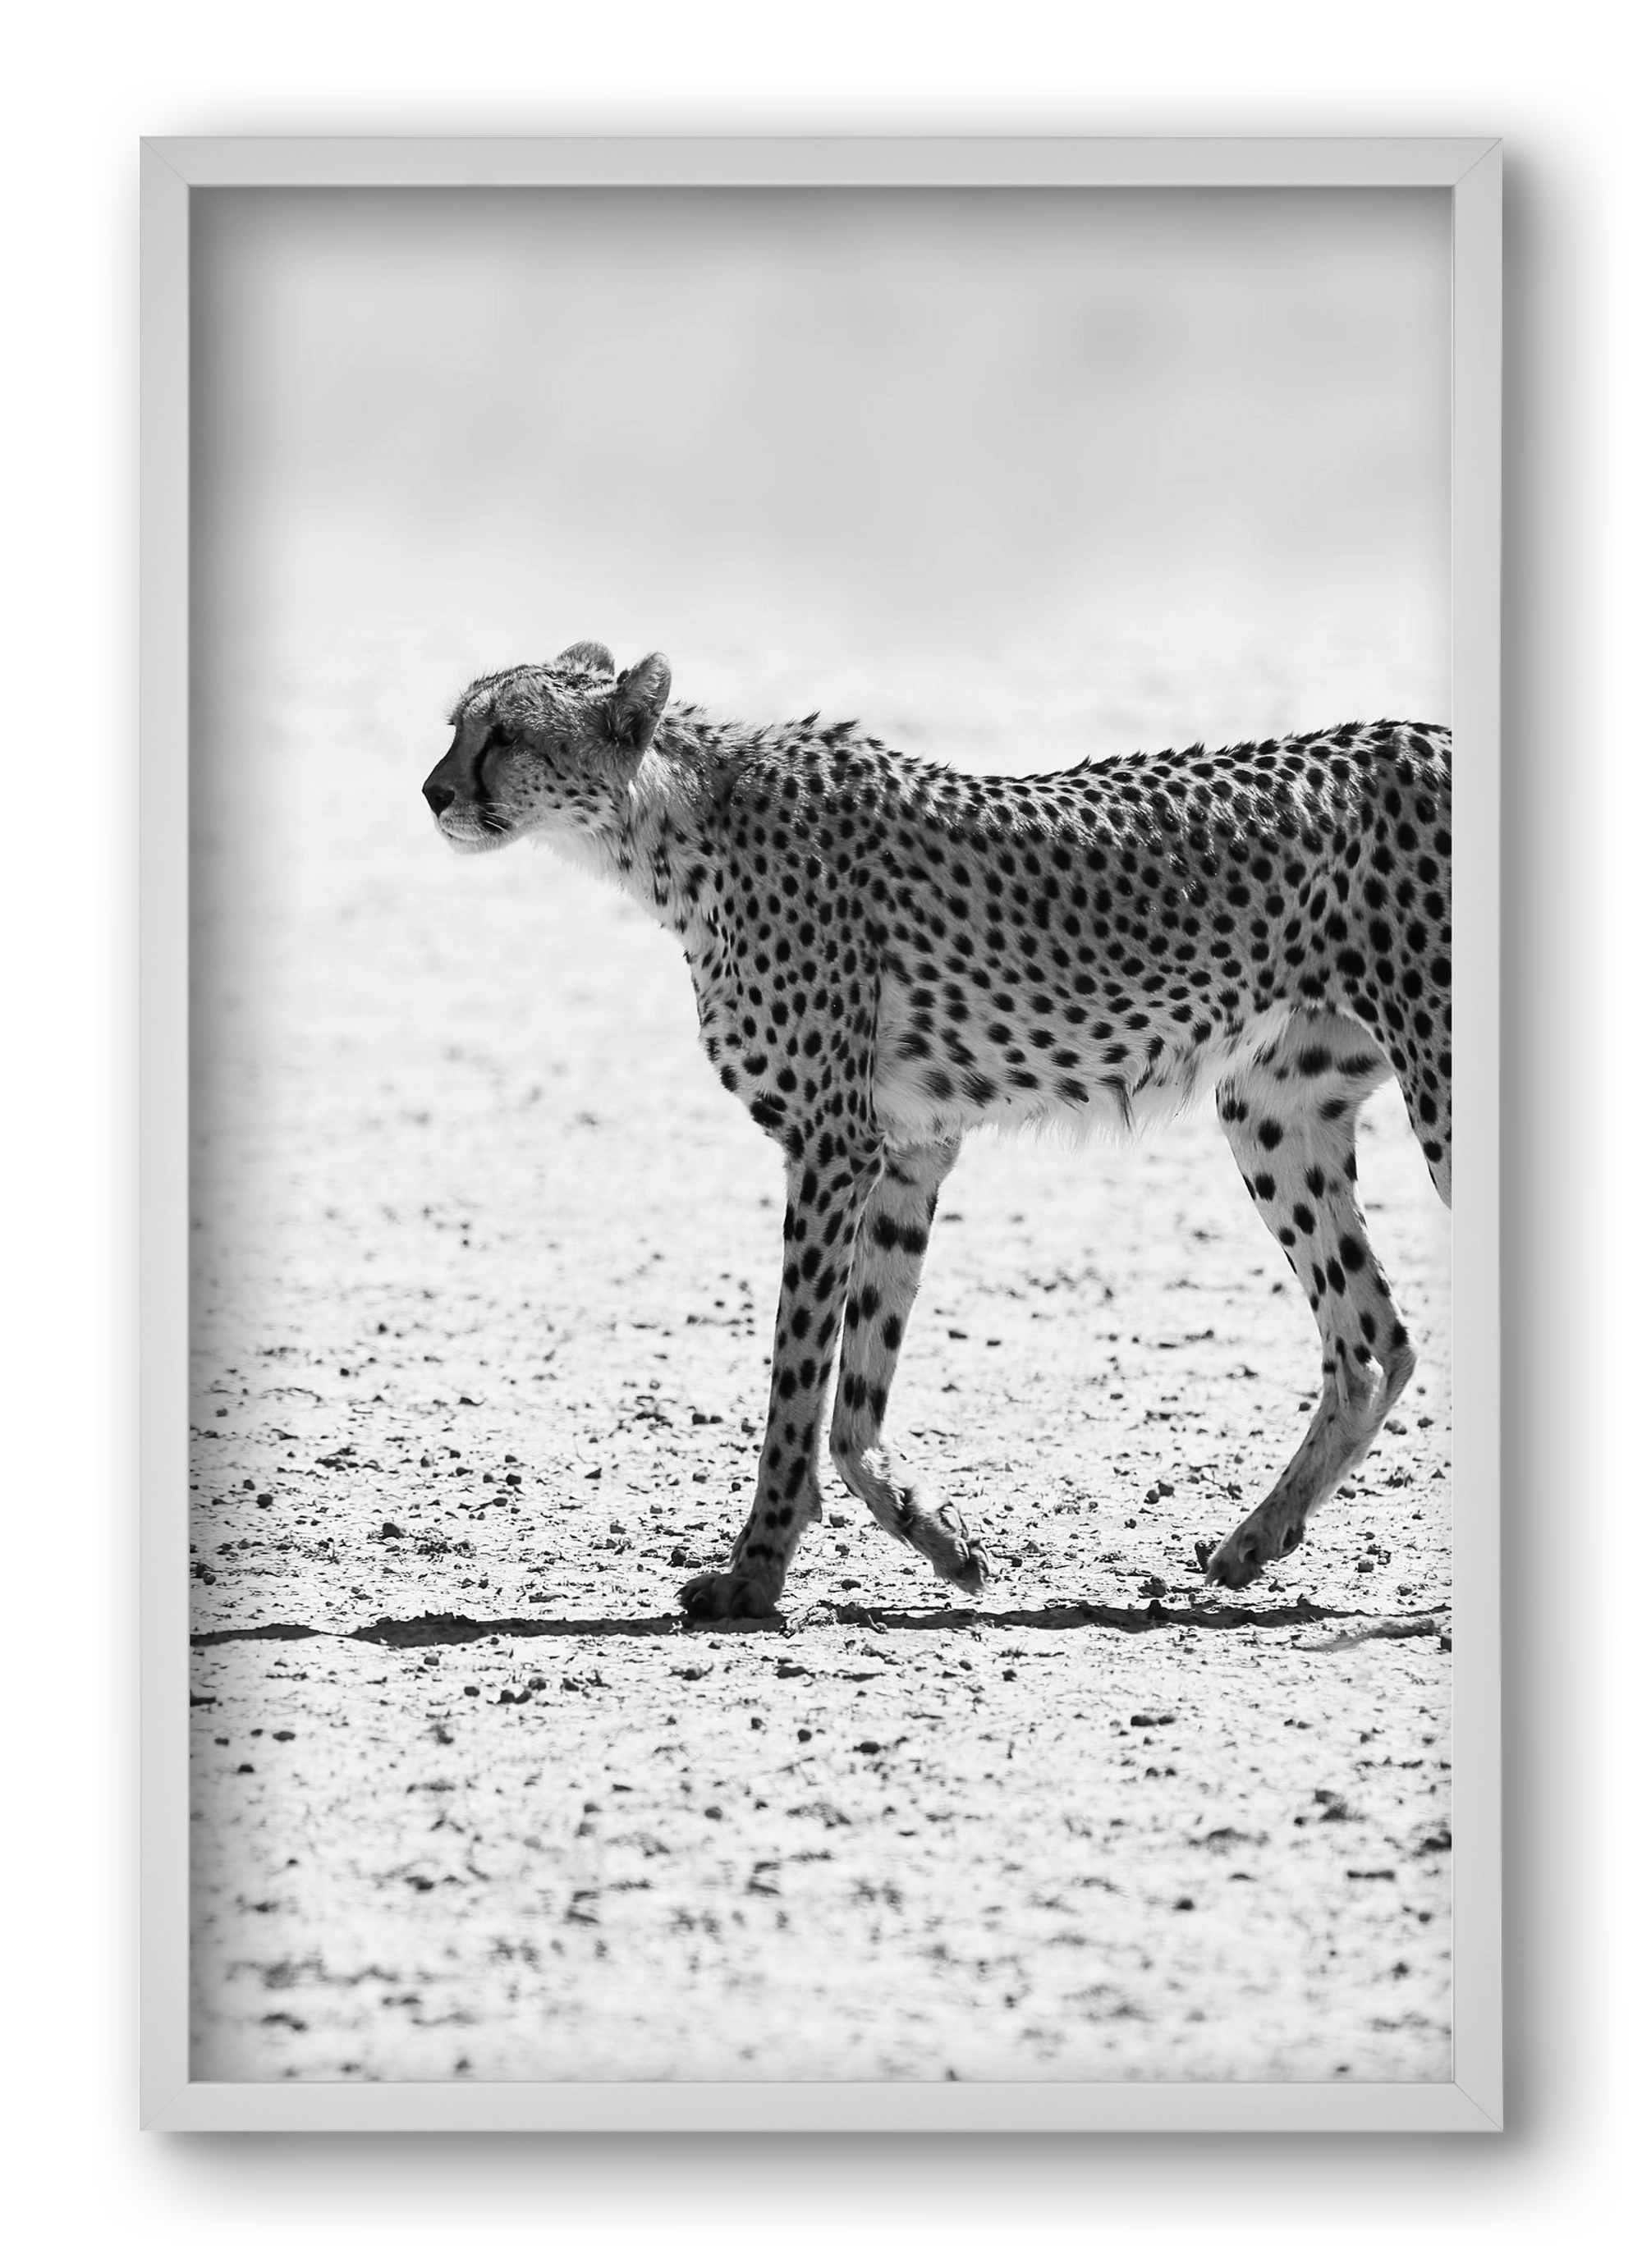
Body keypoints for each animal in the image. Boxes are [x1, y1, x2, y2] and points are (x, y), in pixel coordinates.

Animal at [422, 641, 1451, 1619]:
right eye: (456, 726)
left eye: (506, 734)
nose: (433, 792)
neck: (672, 824)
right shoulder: (907, 1149)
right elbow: (854, 1396)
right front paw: (940, 1540)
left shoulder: (830, 1146)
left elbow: (797, 1381)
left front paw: (753, 1575)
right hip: (1270, 1109)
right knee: (1371, 1342)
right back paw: (1254, 1540)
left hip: (1434, 1090)